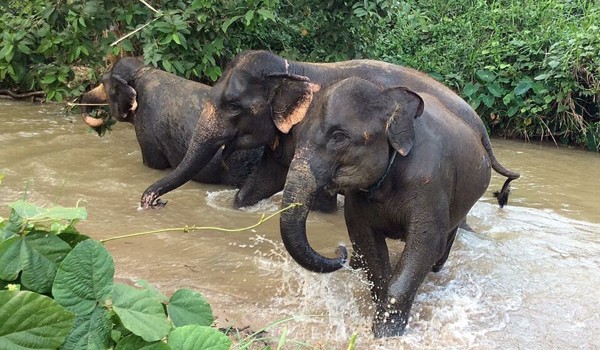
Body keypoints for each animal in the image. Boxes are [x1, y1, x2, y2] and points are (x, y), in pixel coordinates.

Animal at [139, 50, 502, 213]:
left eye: (232, 106)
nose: (151, 201)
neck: (292, 68)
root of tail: (481, 127)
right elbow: (263, 180)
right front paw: (239, 206)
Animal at [278, 77, 516, 340]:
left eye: (339, 136)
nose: (341, 251)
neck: (389, 98)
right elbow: (367, 243)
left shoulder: (429, 182)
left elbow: (425, 243)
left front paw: (386, 333)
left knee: (446, 239)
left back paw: (437, 267)